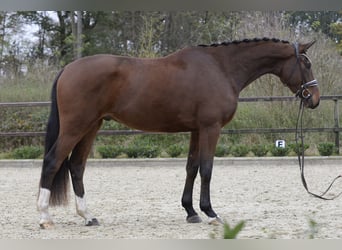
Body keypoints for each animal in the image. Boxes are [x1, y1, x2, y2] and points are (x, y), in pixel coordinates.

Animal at [37, 37, 320, 229]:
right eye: (306, 63)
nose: (314, 99)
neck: (221, 68)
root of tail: (67, 69)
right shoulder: (210, 128)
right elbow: (206, 169)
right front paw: (210, 213)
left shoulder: (196, 130)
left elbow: (191, 168)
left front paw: (191, 211)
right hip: (76, 127)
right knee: (53, 161)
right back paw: (44, 216)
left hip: (91, 126)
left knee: (76, 166)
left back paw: (88, 216)